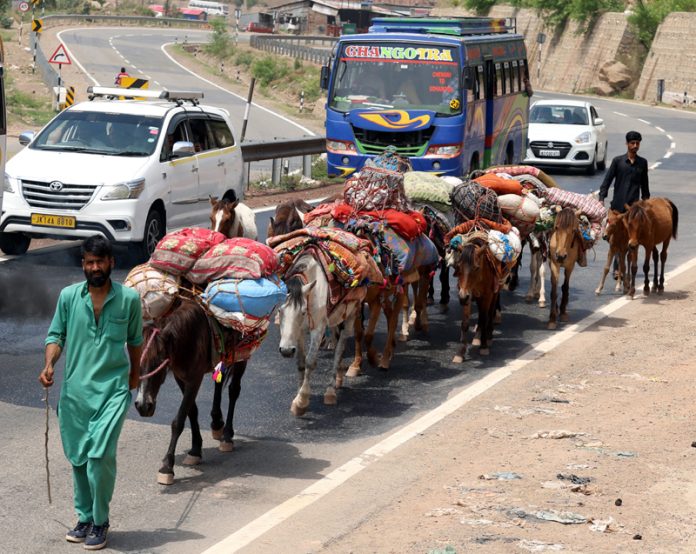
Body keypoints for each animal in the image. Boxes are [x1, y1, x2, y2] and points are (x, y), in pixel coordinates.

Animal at [135, 298, 249, 484]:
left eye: (159, 361)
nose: (143, 406)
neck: (187, 339)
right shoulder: (180, 378)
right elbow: (192, 411)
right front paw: (195, 450)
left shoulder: (195, 379)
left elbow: (179, 420)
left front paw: (167, 466)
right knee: (220, 380)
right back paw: (216, 423)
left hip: (242, 355)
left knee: (233, 390)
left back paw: (226, 436)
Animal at [276, 250, 364, 414]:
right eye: (279, 310)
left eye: (303, 312)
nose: (286, 350)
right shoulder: (299, 332)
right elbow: (301, 363)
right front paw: (298, 395)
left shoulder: (318, 328)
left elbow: (310, 362)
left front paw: (302, 401)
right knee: (335, 341)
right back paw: (338, 378)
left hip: (351, 314)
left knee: (340, 348)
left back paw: (331, 391)